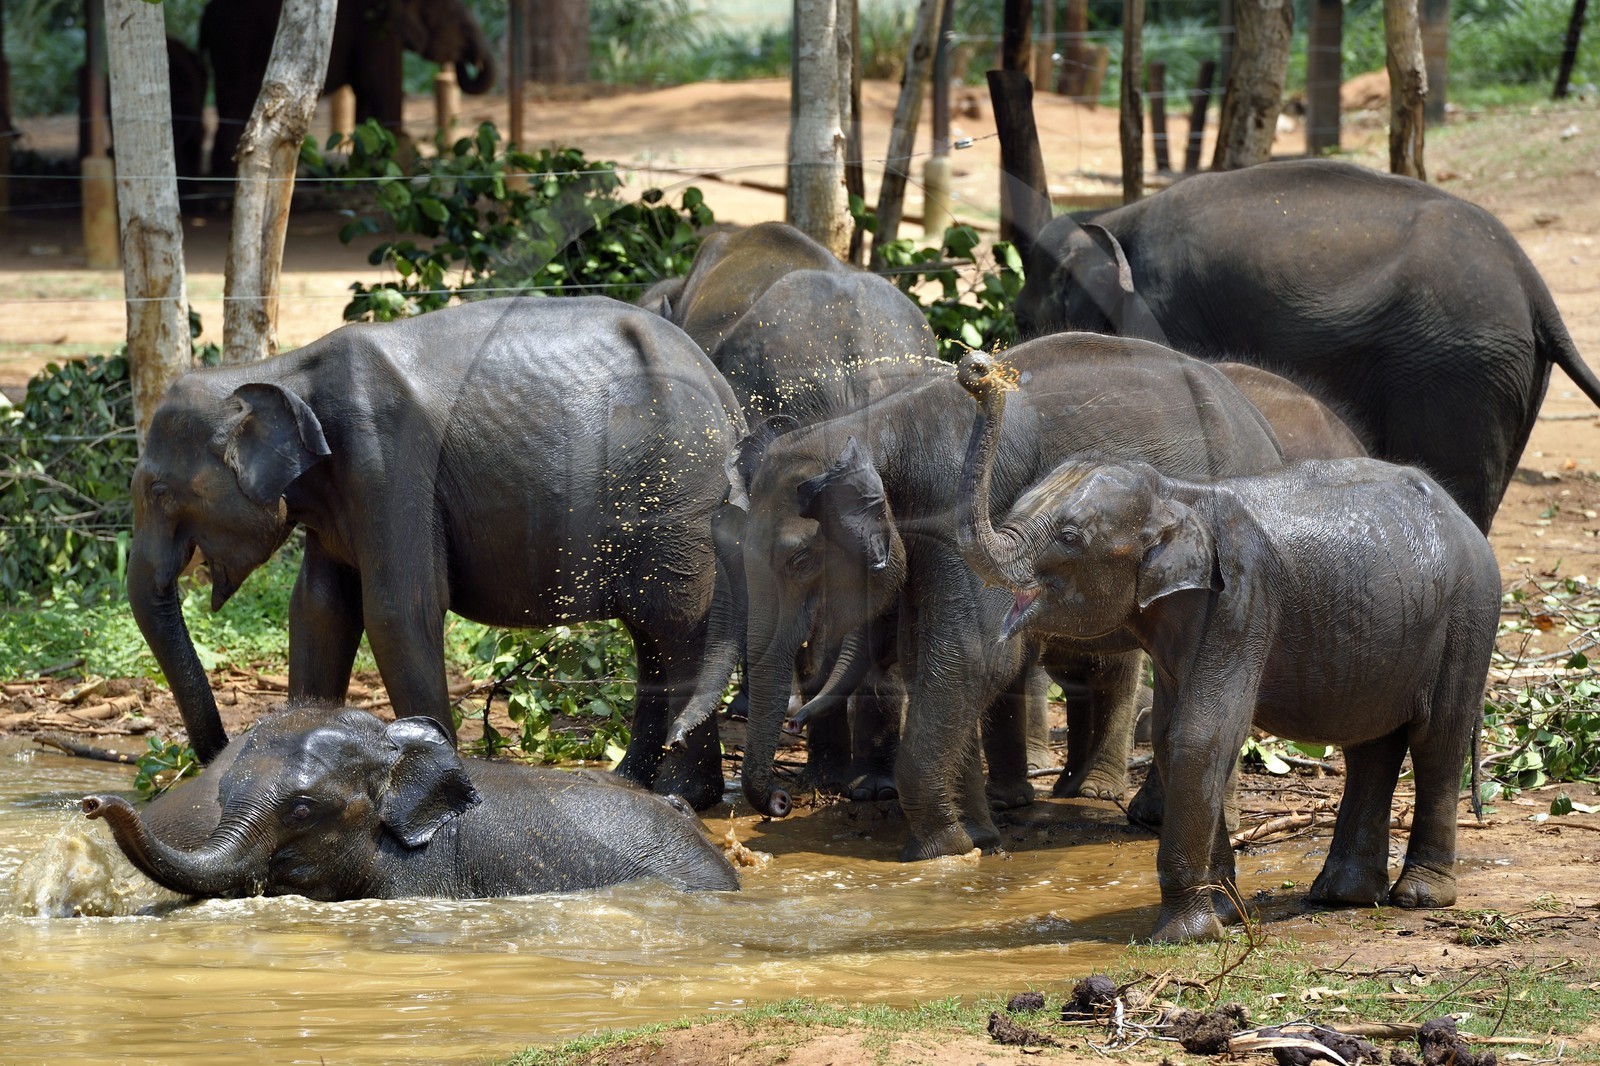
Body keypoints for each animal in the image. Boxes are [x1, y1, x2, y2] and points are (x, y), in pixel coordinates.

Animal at [128, 297, 744, 810]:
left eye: (159, 492)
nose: (213, 759)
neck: (284, 369)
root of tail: (723, 390)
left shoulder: (388, 459)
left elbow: (400, 610)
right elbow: (319, 610)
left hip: (679, 495)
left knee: (677, 625)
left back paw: (685, 795)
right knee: (654, 635)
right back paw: (636, 783)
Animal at [689, 331, 1288, 860]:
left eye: (797, 561)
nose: (781, 801)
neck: (875, 426)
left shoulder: (955, 510)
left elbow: (971, 657)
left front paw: (944, 850)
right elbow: (932, 659)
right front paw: (978, 837)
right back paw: (1149, 816)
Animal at [957, 352, 1500, 941]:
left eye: (1071, 537)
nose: (977, 368)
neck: (1179, 494)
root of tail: (1462, 515)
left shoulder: (1243, 601)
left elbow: (1203, 734)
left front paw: (1184, 936)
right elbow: (1173, 737)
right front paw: (1223, 914)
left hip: (1470, 612)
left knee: (1436, 739)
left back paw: (1419, 897)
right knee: (1371, 741)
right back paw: (1343, 897)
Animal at [1015, 158, 1600, 531]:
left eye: (1025, 318)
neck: (1113, 219)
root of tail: (1533, 286)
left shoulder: (1166, 308)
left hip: (1460, 366)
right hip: (1507, 373)